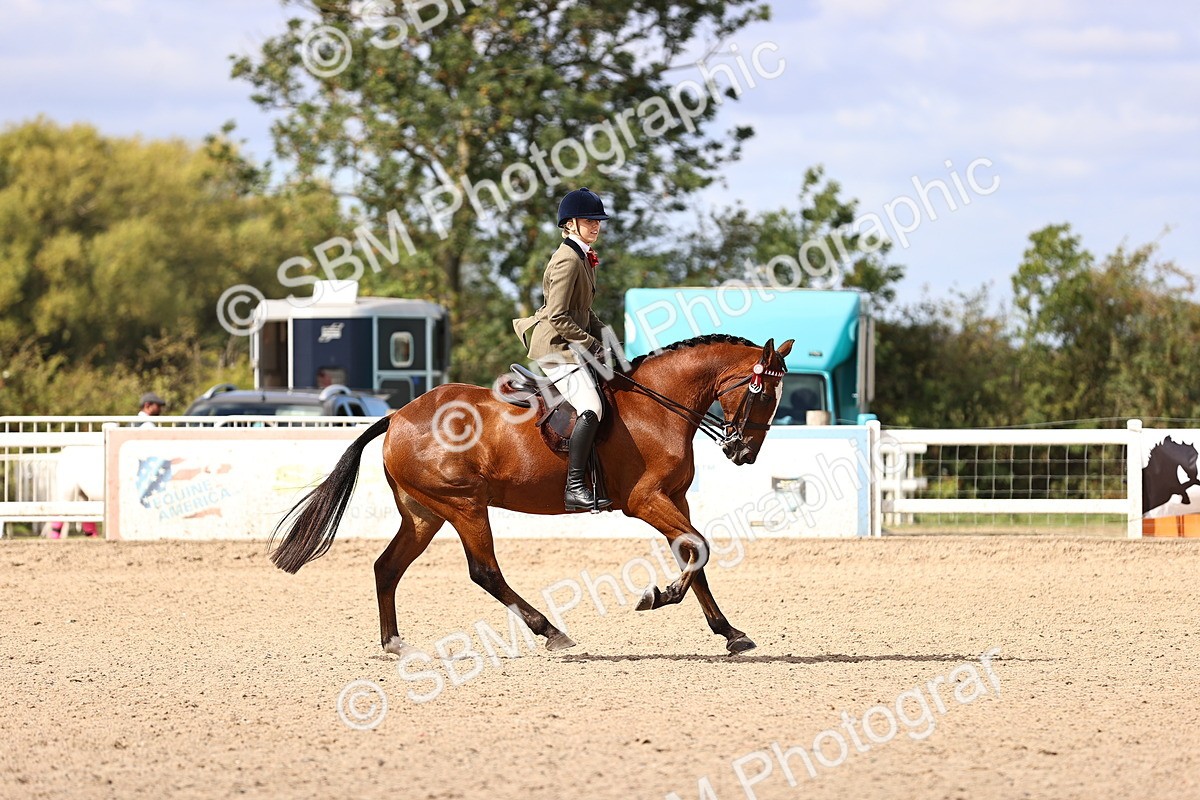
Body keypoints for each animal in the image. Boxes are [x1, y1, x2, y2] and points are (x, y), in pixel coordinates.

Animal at [270, 334, 794, 655]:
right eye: (762, 395)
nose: (743, 452)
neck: (658, 405)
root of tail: (398, 415)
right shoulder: (645, 501)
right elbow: (699, 548)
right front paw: (657, 596)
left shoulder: (674, 500)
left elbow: (693, 555)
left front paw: (730, 633)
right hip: (465, 506)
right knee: (484, 572)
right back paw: (551, 631)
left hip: (424, 514)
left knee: (387, 567)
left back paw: (395, 644)